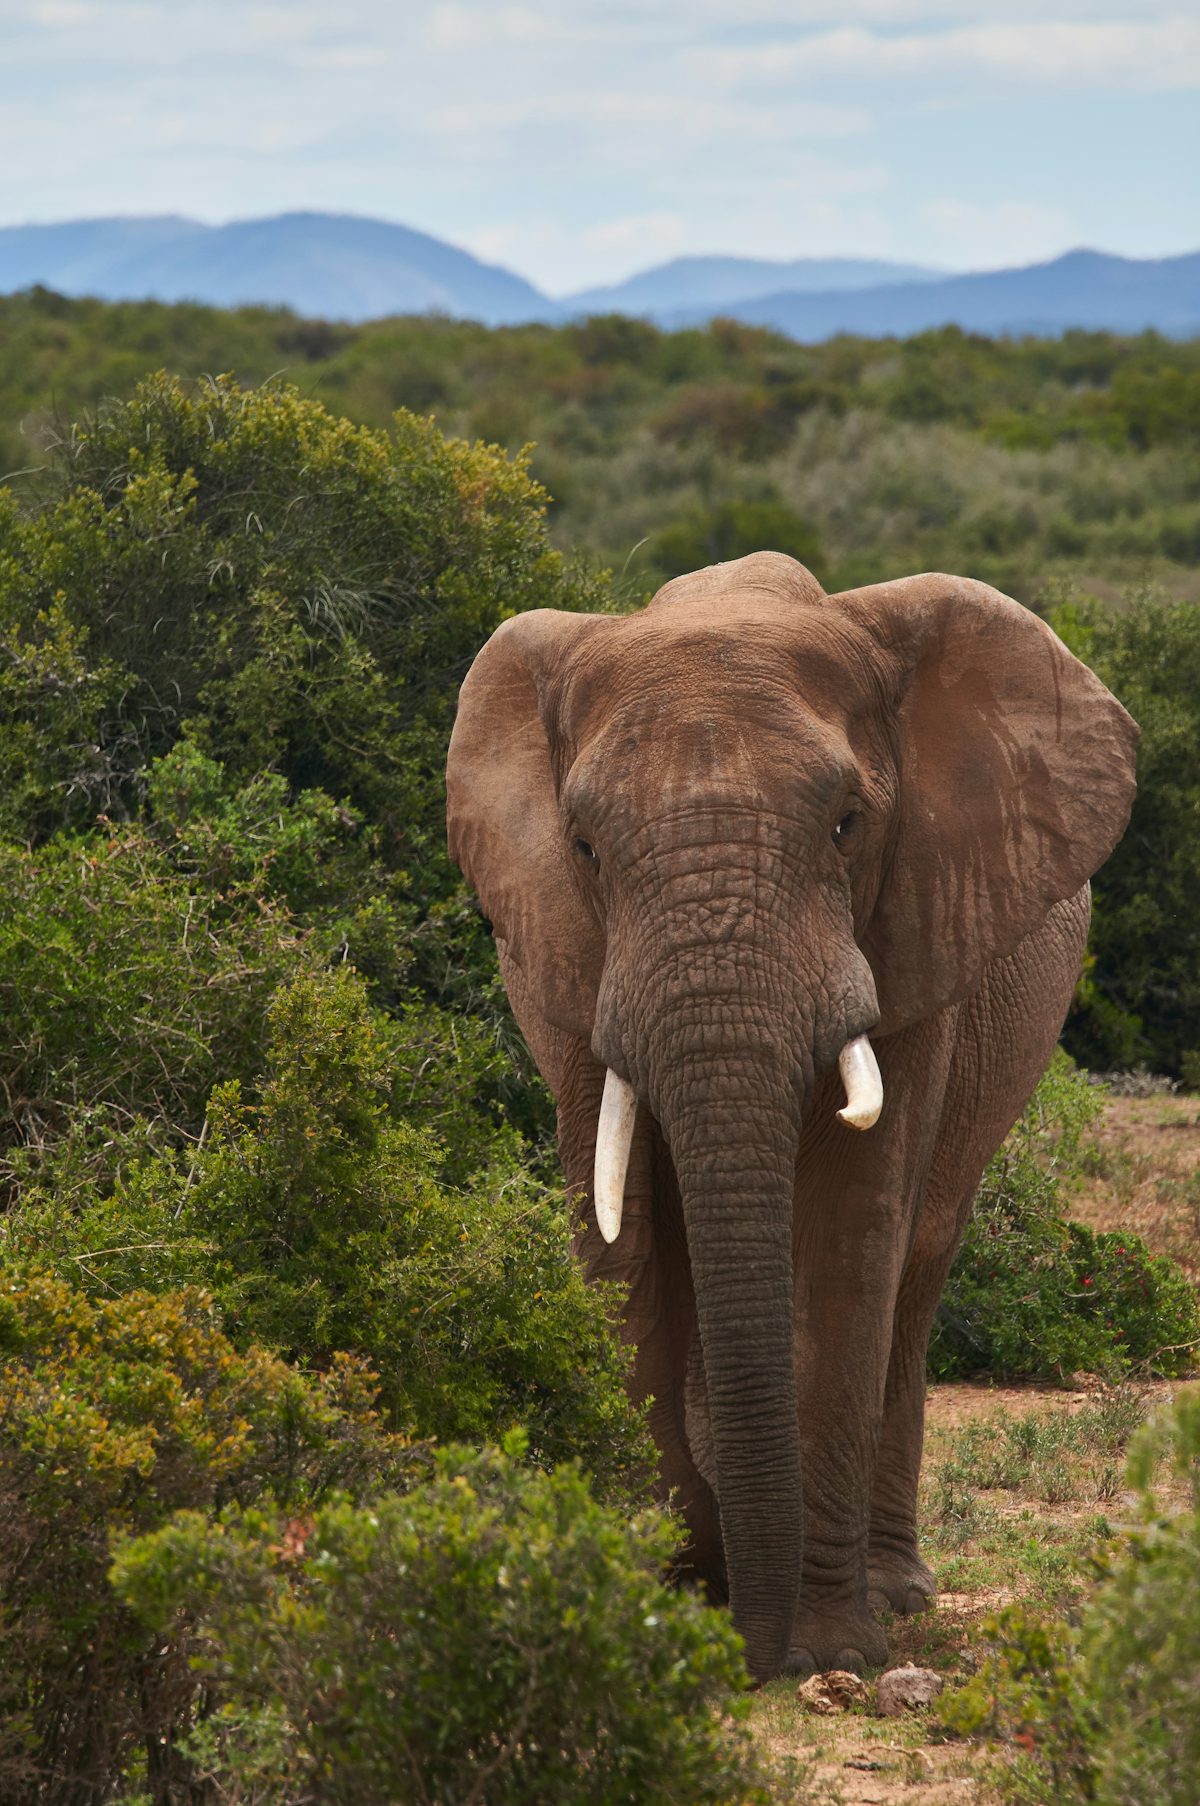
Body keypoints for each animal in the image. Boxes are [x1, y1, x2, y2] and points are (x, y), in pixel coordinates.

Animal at [445, 553, 1137, 1683]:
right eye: (583, 846)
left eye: (848, 824)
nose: (750, 1651)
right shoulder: (569, 966)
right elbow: (624, 1243)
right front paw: (665, 1597)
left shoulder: (915, 935)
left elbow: (850, 1238)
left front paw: (824, 1649)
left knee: (917, 1266)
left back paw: (894, 1590)